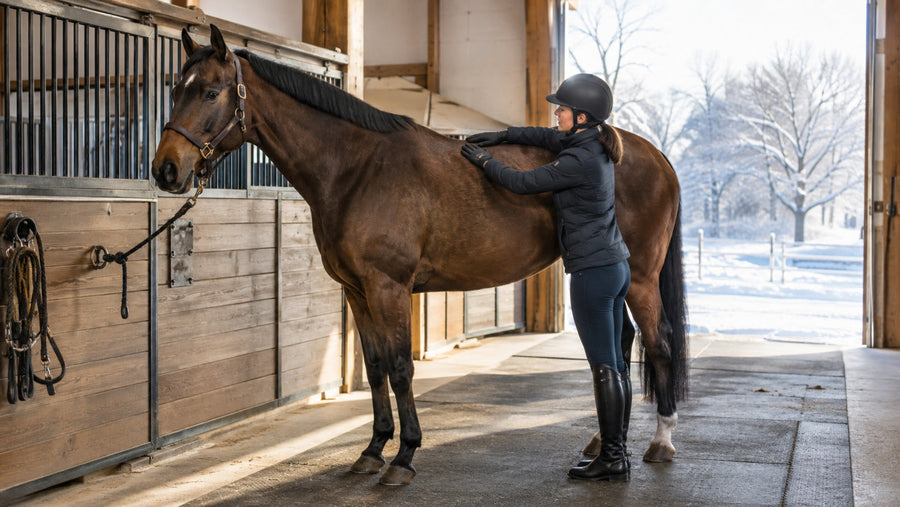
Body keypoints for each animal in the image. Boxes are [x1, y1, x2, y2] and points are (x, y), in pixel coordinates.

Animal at [152, 25, 687, 486]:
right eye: (176, 89)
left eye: (211, 93)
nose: (166, 170)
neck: (357, 168)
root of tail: (652, 155)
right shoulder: (357, 291)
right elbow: (374, 368)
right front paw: (372, 451)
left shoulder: (389, 288)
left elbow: (401, 368)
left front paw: (404, 456)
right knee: (618, 348)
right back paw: (601, 445)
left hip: (640, 278)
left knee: (657, 343)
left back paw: (660, 443)